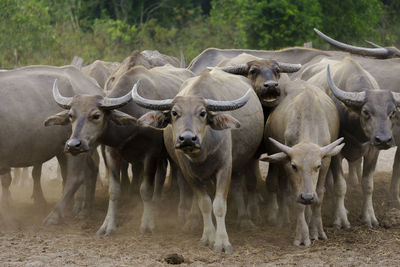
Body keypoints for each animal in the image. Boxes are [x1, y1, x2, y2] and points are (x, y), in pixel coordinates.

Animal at [46, 63, 195, 236]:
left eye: (96, 115)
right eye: (71, 115)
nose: (73, 145)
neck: (133, 126)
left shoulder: (150, 155)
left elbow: (145, 190)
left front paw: (147, 224)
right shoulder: (112, 154)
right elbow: (114, 191)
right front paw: (108, 226)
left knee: (180, 178)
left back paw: (180, 212)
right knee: (163, 173)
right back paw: (158, 202)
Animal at [132, 69, 266, 253]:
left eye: (202, 113)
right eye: (174, 113)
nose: (188, 138)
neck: (202, 154)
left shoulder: (225, 168)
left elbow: (219, 205)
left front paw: (222, 242)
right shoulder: (189, 174)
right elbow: (205, 203)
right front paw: (208, 236)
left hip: (245, 161)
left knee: (240, 186)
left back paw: (245, 220)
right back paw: (193, 222)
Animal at [260, 77, 342, 247]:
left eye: (317, 166)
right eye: (294, 166)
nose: (307, 197)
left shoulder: (326, 161)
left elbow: (320, 195)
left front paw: (316, 230)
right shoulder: (286, 163)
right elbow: (296, 198)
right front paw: (302, 235)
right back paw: (283, 218)